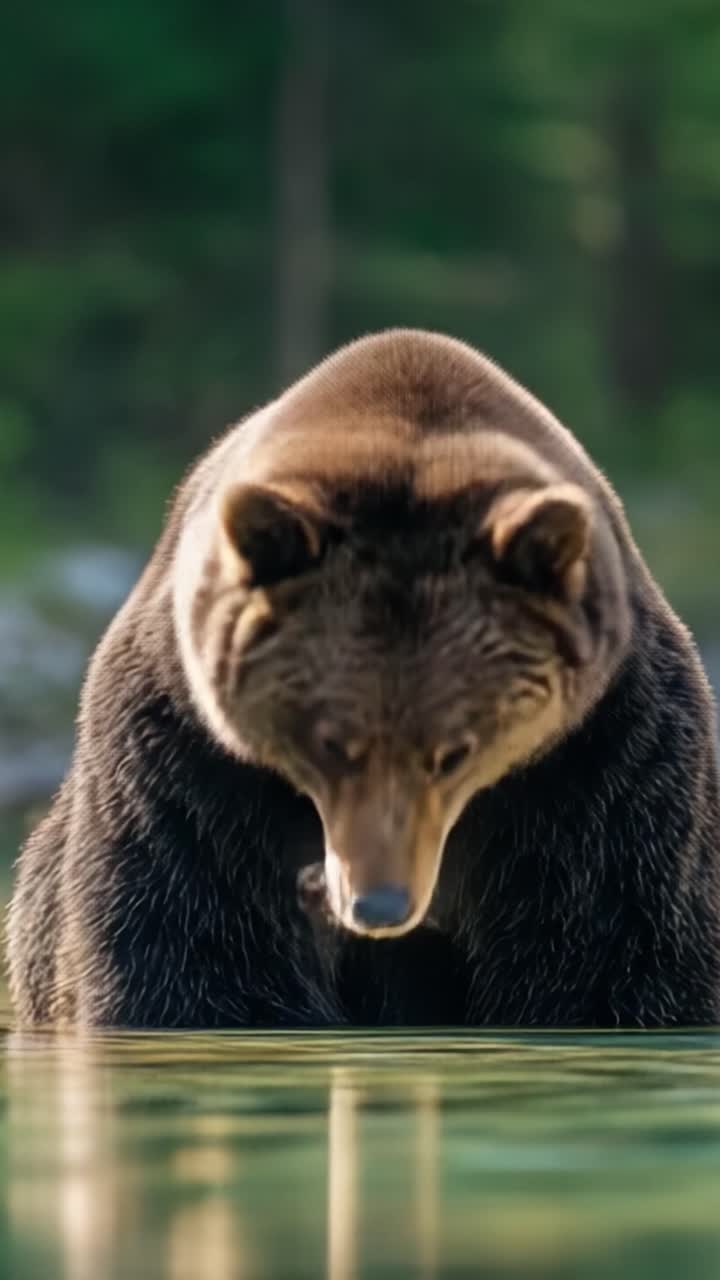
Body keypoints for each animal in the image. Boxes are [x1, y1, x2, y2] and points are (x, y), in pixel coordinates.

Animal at [7, 328, 720, 1028]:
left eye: (454, 751)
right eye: (331, 744)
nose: (379, 904)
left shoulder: (604, 765)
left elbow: (607, 955)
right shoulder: (184, 762)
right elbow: (197, 953)